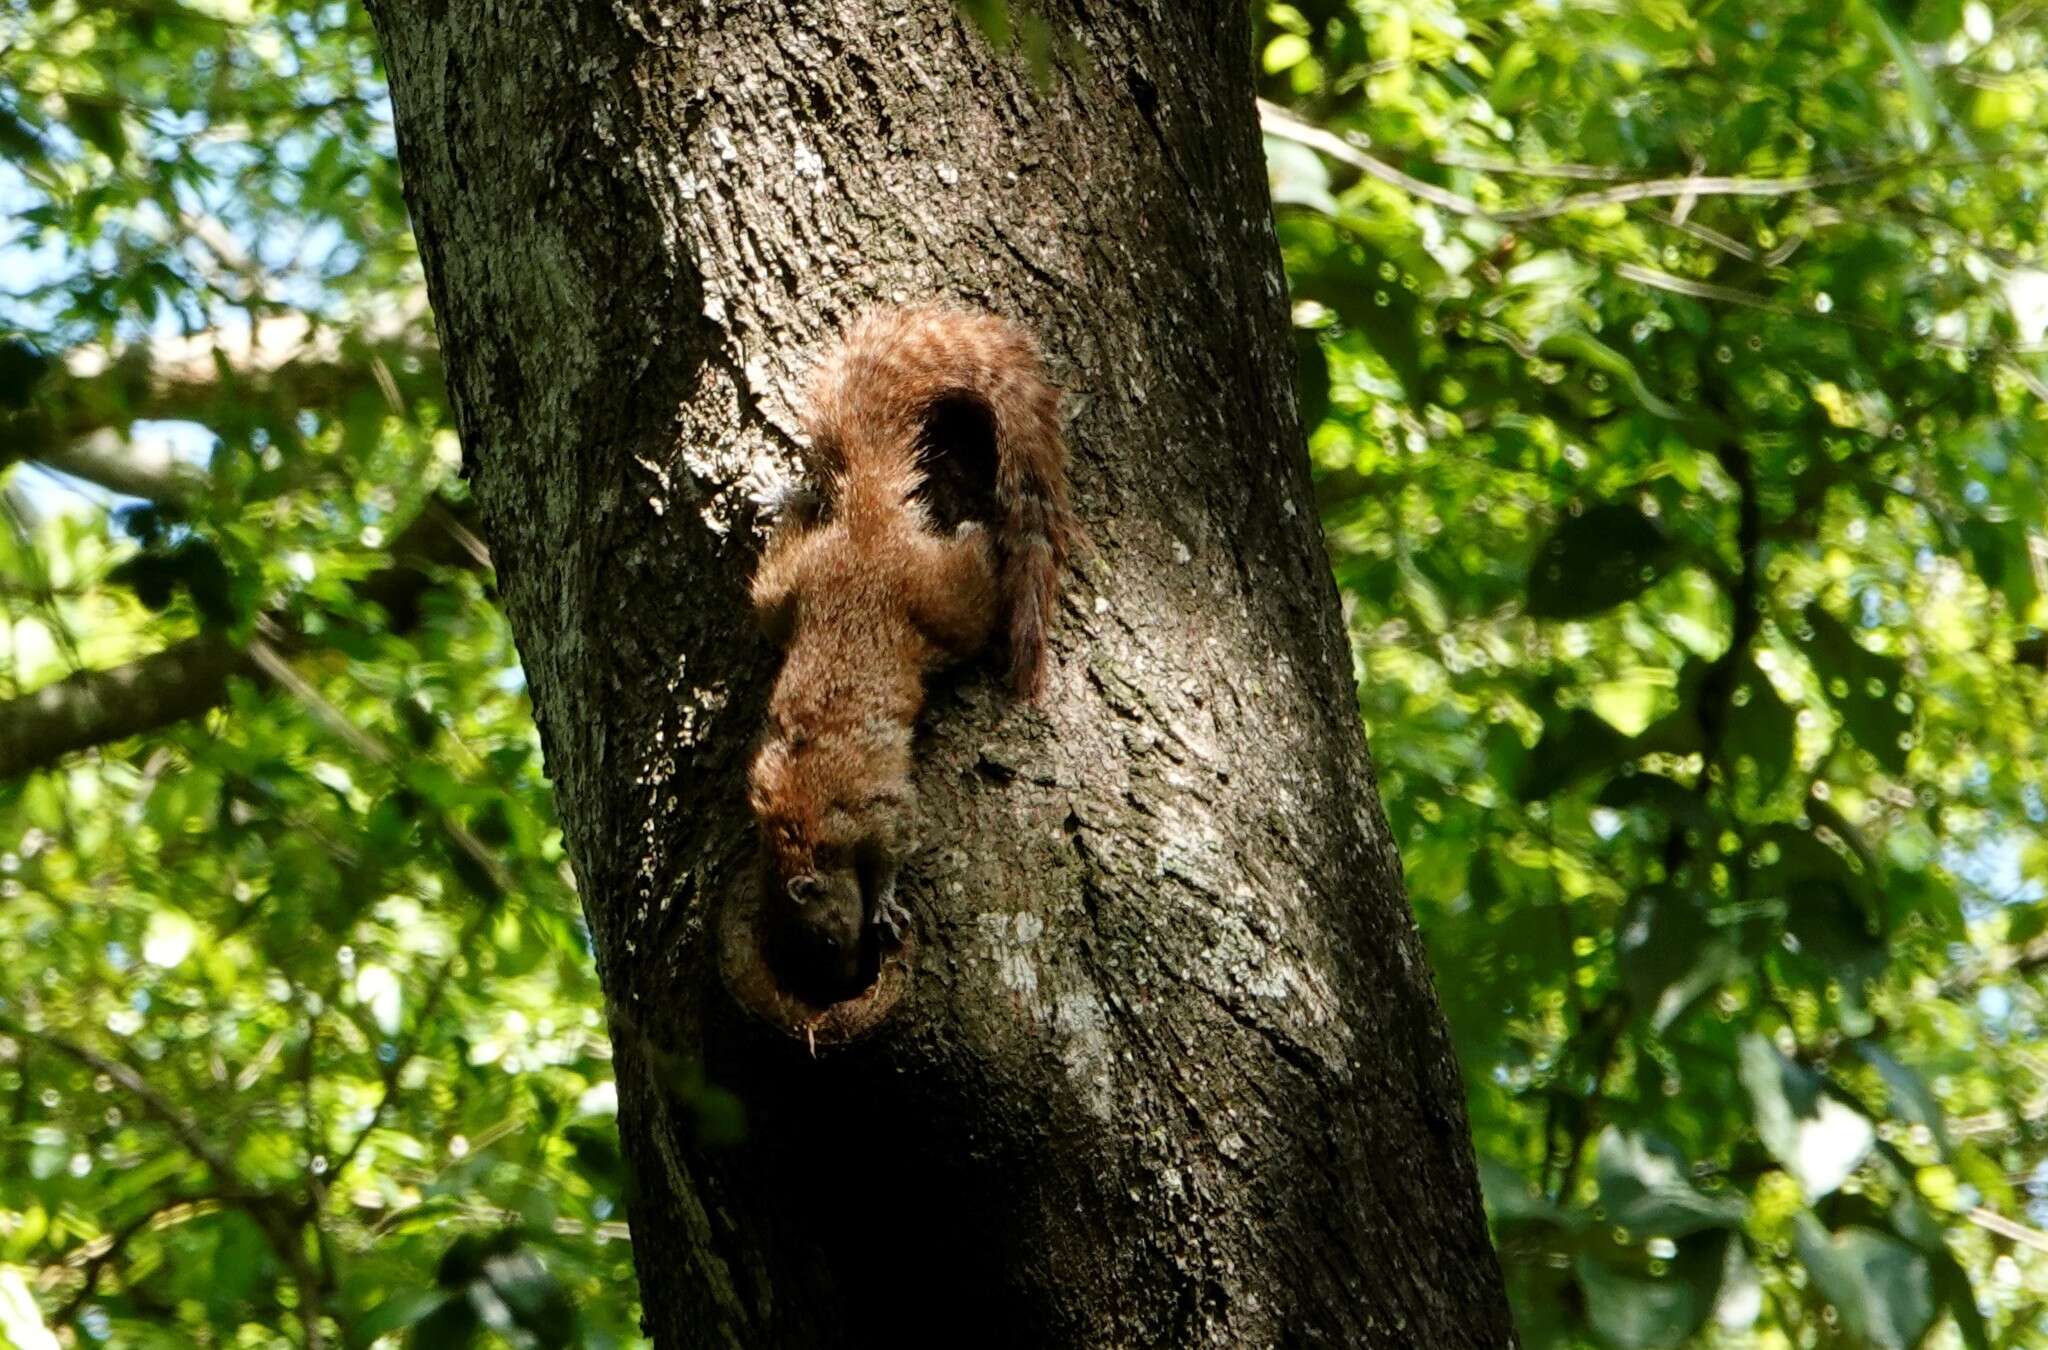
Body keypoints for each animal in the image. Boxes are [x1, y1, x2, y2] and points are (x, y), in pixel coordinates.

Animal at [745, 309, 1081, 1003]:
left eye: (822, 940)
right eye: (803, 953)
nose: (845, 983)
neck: (800, 832)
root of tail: (868, 527)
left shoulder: (872, 808)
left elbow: (898, 844)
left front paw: (885, 903)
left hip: (939, 601)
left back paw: (976, 532)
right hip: (789, 591)